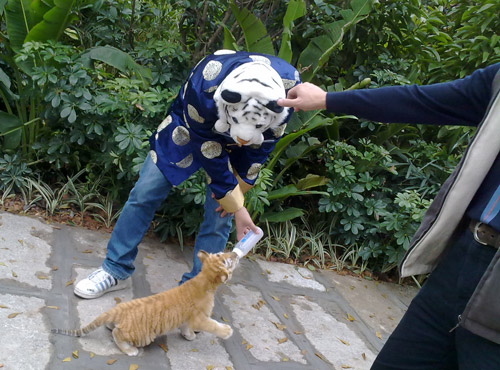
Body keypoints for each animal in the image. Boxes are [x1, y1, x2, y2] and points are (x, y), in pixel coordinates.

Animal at [52, 250, 238, 356]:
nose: (235, 254)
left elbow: (186, 327)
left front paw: (189, 335)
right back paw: (130, 351)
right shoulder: (200, 317)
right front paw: (227, 331)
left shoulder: (187, 319)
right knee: (117, 335)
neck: (204, 278)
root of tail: (118, 310)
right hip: (143, 336)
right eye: (226, 260)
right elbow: (212, 325)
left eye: (221, 253)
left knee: (111, 327)